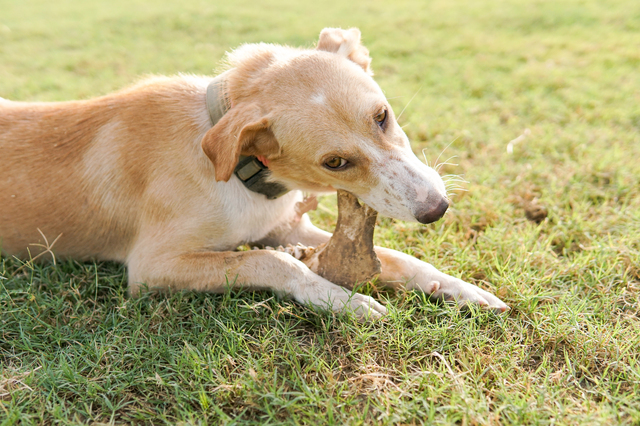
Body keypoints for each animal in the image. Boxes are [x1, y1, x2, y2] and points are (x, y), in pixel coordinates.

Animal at [1, 28, 510, 318]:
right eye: (334, 162)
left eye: (382, 116)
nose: (437, 209)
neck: (239, 173)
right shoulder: (152, 267)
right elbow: (271, 261)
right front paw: (341, 300)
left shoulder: (286, 226)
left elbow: (399, 258)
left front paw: (458, 288)